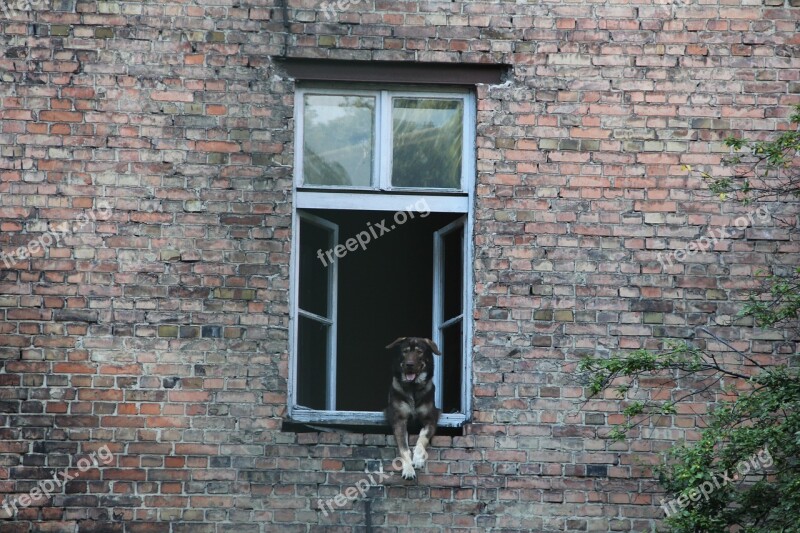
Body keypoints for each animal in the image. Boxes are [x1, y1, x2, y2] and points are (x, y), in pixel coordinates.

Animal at [384, 338, 440, 480]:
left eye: (419, 352)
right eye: (405, 351)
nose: (409, 364)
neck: (413, 387)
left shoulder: (430, 420)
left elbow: (422, 438)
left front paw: (418, 460)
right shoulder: (399, 421)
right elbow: (404, 448)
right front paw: (408, 469)